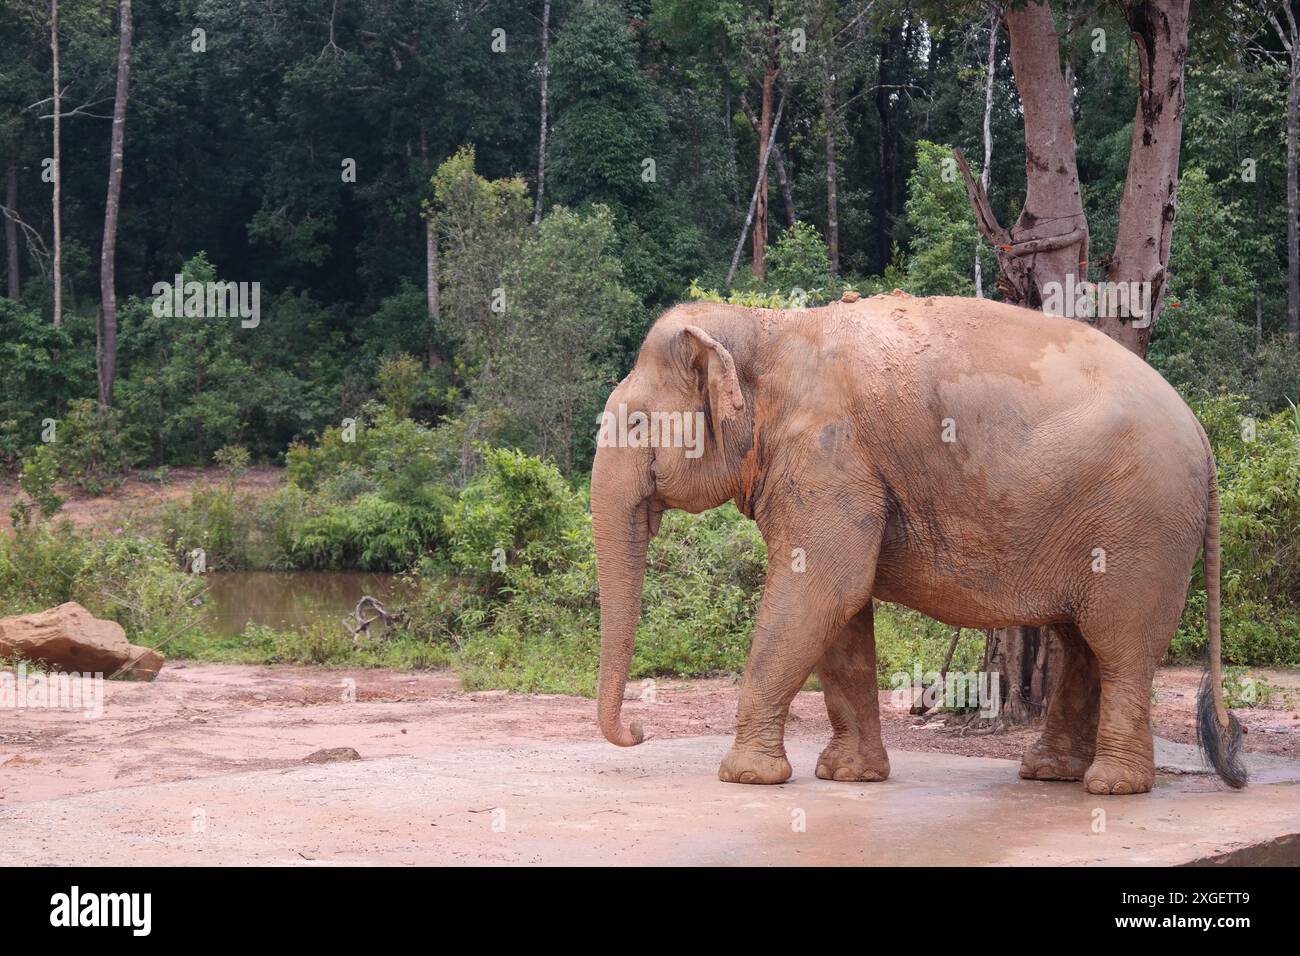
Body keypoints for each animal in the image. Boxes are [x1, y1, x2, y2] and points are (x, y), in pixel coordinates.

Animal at [592, 293, 1248, 801]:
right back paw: (1050, 773)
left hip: (1142, 525)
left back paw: (1111, 786)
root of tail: (1202, 434)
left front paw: (745, 778)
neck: (767, 327)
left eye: (635, 425)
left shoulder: (832, 455)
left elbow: (822, 590)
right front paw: (847, 777)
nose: (639, 733)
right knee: (1082, 642)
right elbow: (842, 612)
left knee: (1120, 643)